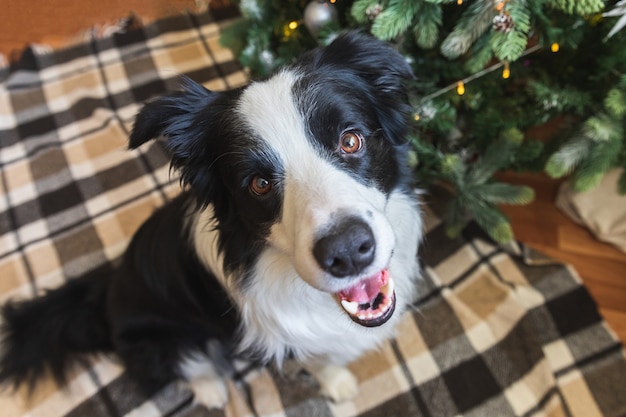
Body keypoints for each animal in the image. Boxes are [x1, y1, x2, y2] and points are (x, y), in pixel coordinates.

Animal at [1, 31, 420, 406]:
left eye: (350, 140)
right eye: (259, 184)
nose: (347, 251)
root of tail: (107, 289)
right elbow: (316, 358)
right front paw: (336, 383)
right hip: (159, 339)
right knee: (185, 364)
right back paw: (211, 390)